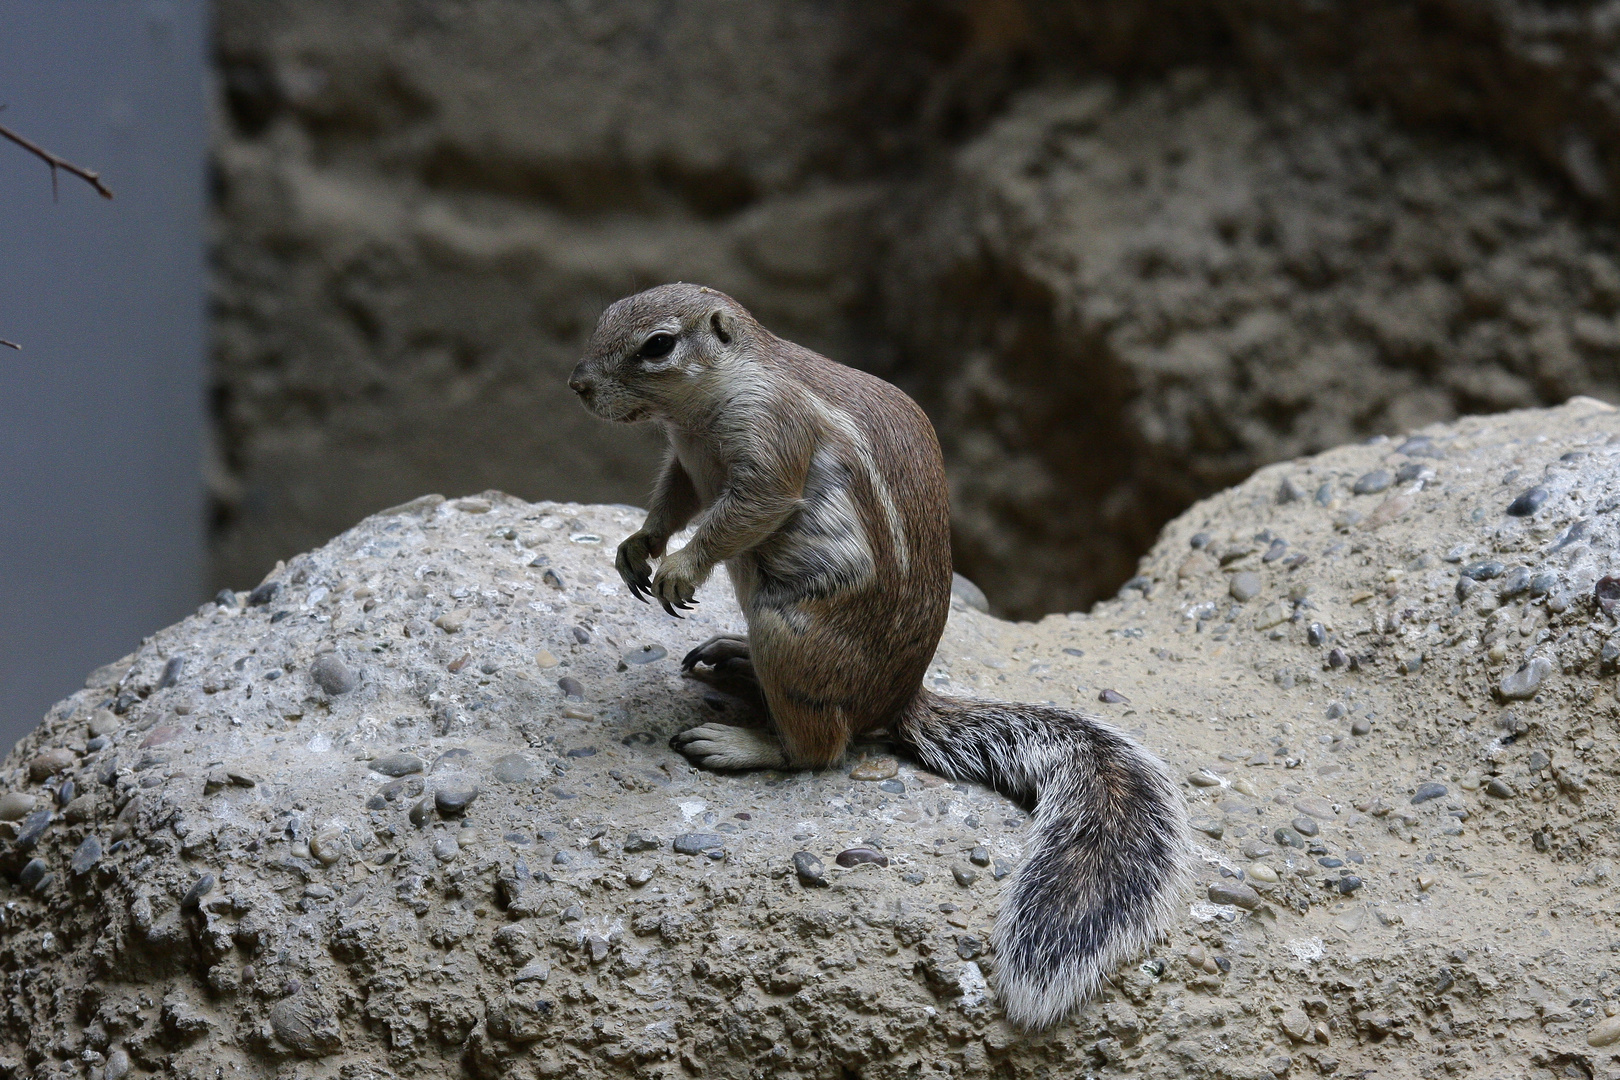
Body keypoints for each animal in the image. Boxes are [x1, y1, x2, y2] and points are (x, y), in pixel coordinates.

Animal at [573, 284, 1192, 1029]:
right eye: (605, 317)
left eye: (658, 345)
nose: (578, 385)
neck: (703, 405)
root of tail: (900, 699)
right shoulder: (686, 462)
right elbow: (672, 498)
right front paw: (638, 548)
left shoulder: (770, 444)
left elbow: (742, 511)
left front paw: (680, 569)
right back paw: (735, 660)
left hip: (787, 631)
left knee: (820, 748)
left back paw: (739, 741)